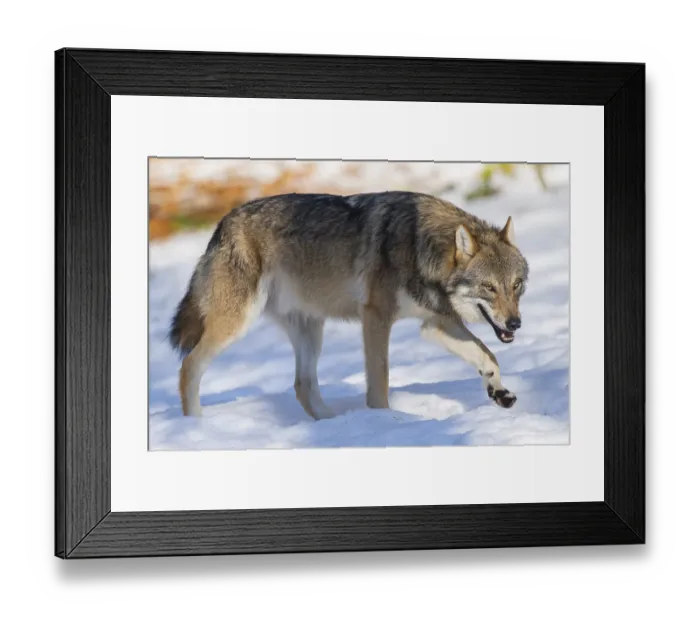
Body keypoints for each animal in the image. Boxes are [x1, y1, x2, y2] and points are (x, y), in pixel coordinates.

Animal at [169, 192, 529, 418]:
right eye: (489, 287)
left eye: (516, 285)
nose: (515, 324)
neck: (420, 247)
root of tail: (222, 225)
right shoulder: (376, 317)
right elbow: (380, 380)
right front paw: (382, 422)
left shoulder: (436, 323)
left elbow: (488, 356)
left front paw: (499, 393)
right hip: (237, 323)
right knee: (189, 367)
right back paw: (196, 426)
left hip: (311, 332)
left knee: (303, 385)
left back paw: (334, 426)